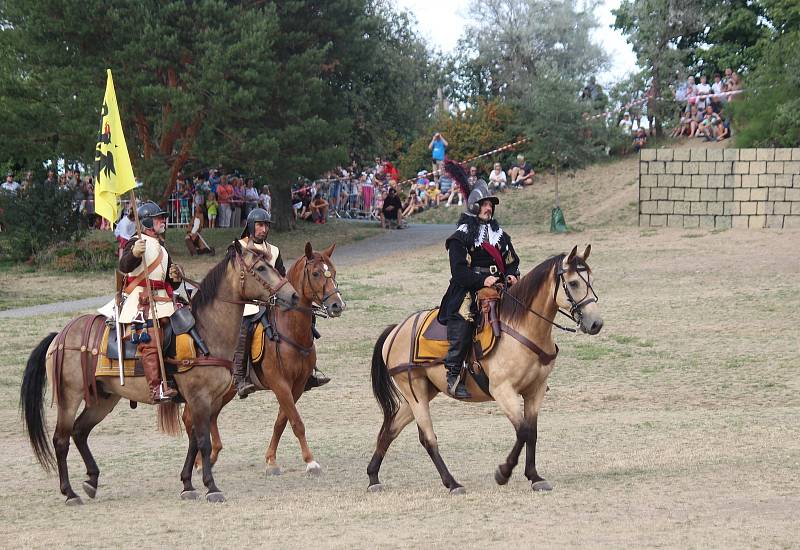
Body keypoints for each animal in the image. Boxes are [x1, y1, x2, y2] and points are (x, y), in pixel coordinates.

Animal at [21, 242, 296, 504]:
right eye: (260, 268)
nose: (292, 295)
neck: (206, 330)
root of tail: (60, 336)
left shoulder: (209, 400)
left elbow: (194, 440)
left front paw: (187, 485)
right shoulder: (199, 398)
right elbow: (203, 441)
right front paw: (211, 487)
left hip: (103, 399)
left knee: (79, 431)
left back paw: (91, 481)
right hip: (70, 397)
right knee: (61, 439)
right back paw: (70, 492)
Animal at [184, 244, 346, 476]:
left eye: (332, 272)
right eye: (316, 273)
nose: (337, 305)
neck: (290, 330)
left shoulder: (296, 386)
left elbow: (282, 421)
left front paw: (271, 460)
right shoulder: (280, 384)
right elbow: (296, 422)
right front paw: (310, 461)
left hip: (224, 391)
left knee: (210, 416)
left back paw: (212, 455)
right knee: (190, 418)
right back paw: (198, 462)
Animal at [368, 246, 600, 496]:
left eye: (591, 279)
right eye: (574, 283)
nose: (596, 323)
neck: (522, 327)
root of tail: (396, 330)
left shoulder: (535, 390)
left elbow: (532, 432)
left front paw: (534, 476)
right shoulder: (503, 390)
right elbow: (523, 431)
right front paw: (503, 472)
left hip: (424, 392)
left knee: (391, 428)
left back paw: (373, 477)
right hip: (415, 390)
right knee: (427, 438)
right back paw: (452, 483)